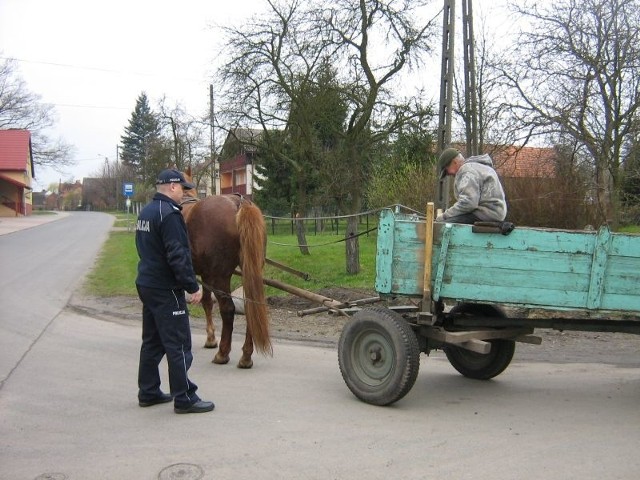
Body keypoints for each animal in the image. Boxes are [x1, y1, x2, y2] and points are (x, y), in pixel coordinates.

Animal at [181, 189, 272, 370]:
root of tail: (240, 203)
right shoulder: (206, 275)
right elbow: (207, 302)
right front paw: (210, 338)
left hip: (221, 277)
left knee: (228, 309)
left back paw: (223, 353)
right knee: (250, 306)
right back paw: (246, 356)